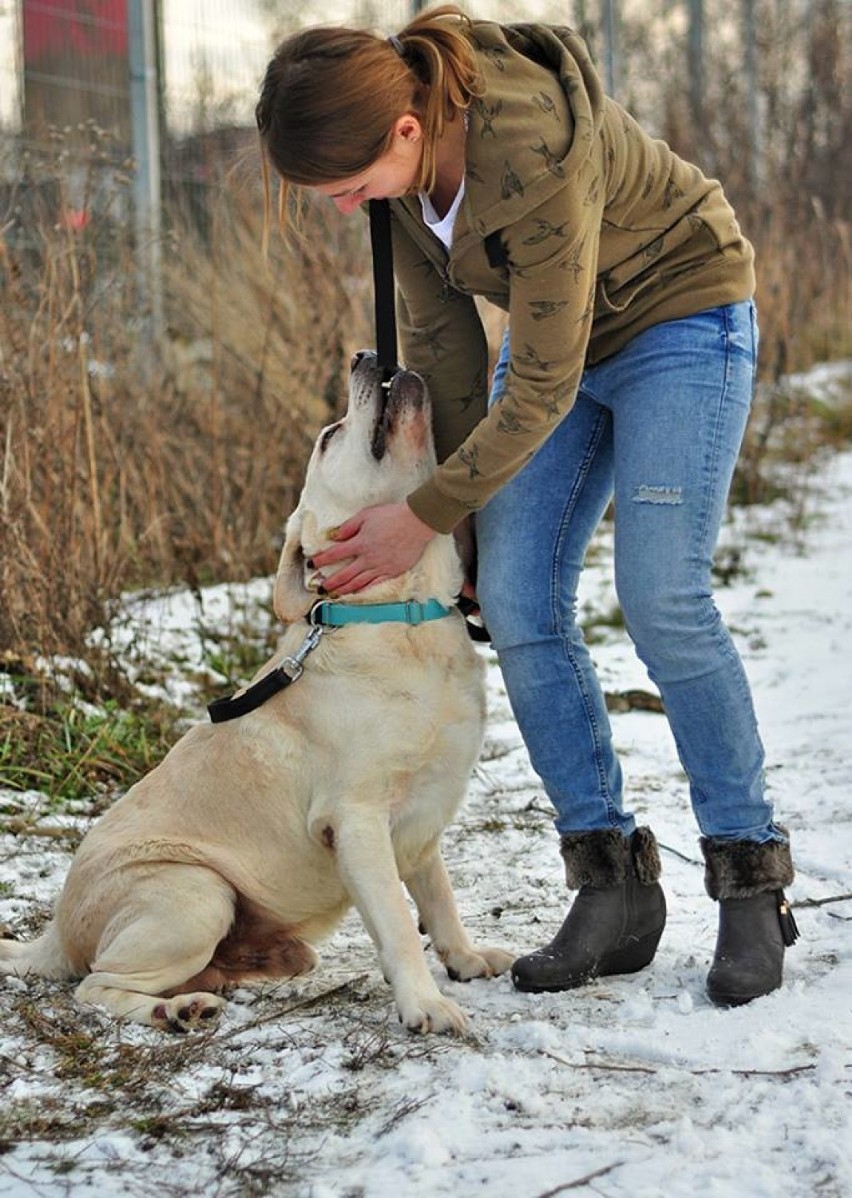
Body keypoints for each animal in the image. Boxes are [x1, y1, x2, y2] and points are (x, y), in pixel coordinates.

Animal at [0, 347, 512, 1030]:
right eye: (330, 437)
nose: (365, 354)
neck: (400, 613)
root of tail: (53, 933)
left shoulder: (423, 819)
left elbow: (440, 899)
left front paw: (466, 959)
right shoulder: (357, 820)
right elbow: (402, 925)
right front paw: (425, 1004)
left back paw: (237, 976)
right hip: (196, 891)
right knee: (98, 987)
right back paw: (180, 1009)